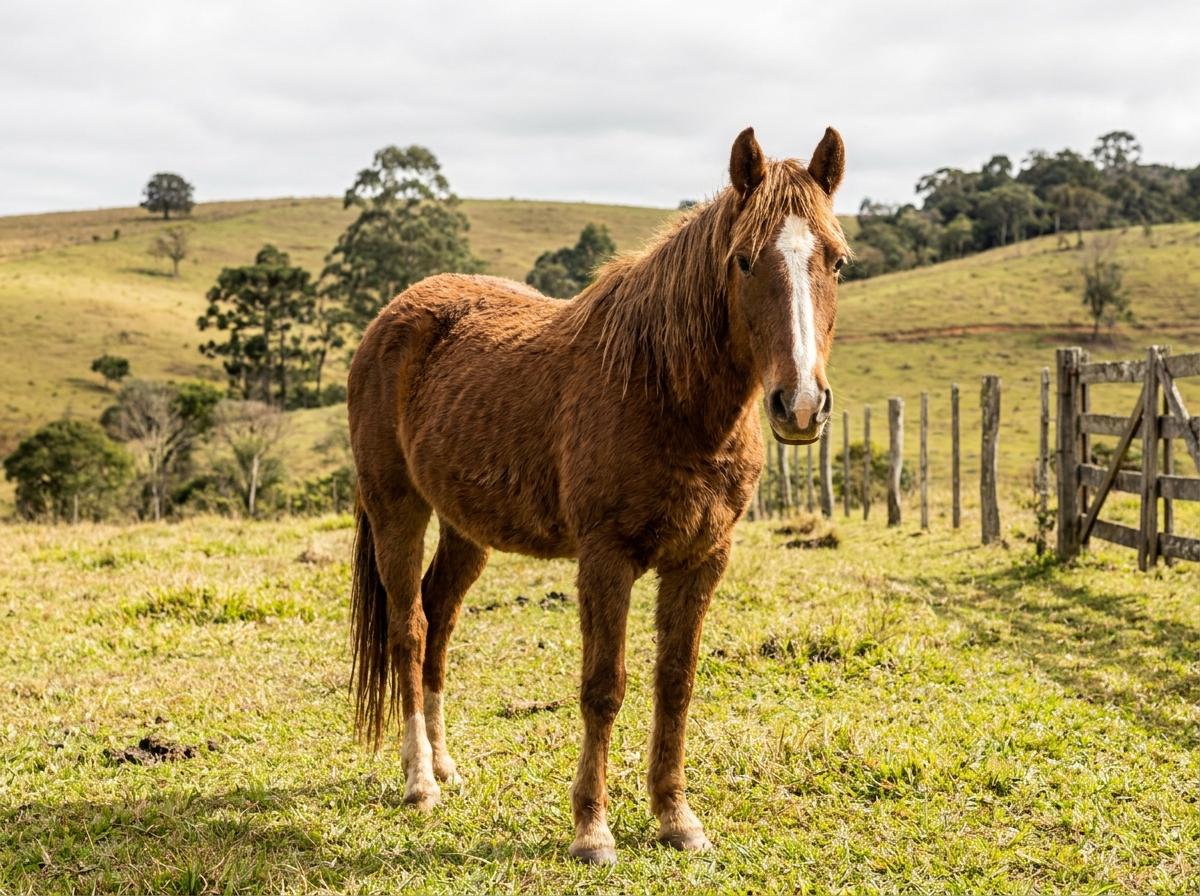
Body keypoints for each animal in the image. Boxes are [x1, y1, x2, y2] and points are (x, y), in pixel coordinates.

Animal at [347, 126, 848, 864]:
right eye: (744, 261)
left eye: (837, 262)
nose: (802, 404)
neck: (663, 389)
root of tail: (392, 318)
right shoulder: (606, 559)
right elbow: (603, 689)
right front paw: (592, 829)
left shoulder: (702, 560)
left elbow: (676, 684)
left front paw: (676, 818)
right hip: (396, 510)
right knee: (408, 629)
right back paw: (419, 781)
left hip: (466, 528)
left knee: (439, 617)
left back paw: (444, 764)